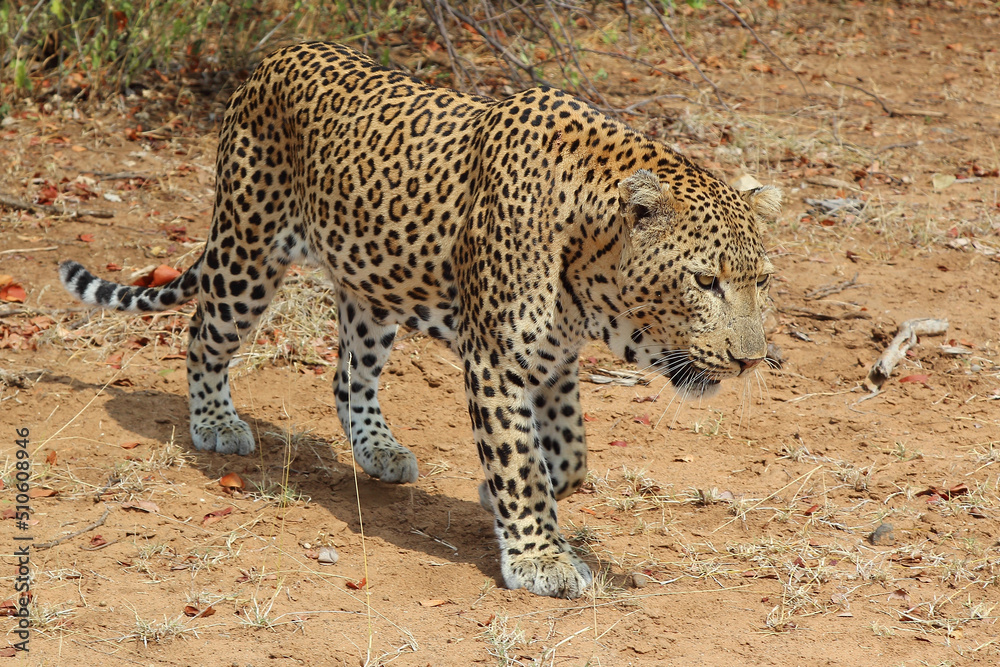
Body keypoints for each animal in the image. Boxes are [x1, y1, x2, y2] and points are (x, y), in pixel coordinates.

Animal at [60, 42, 780, 599]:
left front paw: (510, 497)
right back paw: (215, 423)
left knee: (348, 378)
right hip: (248, 251)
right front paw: (540, 556)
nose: (749, 359)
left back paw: (377, 449)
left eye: (763, 281)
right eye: (704, 281)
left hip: (371, 291)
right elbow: (520, 459)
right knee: (204, 335)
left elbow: (569, 455)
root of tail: (267, 62)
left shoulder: (552, 361)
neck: (586, 261)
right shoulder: (497, 359)